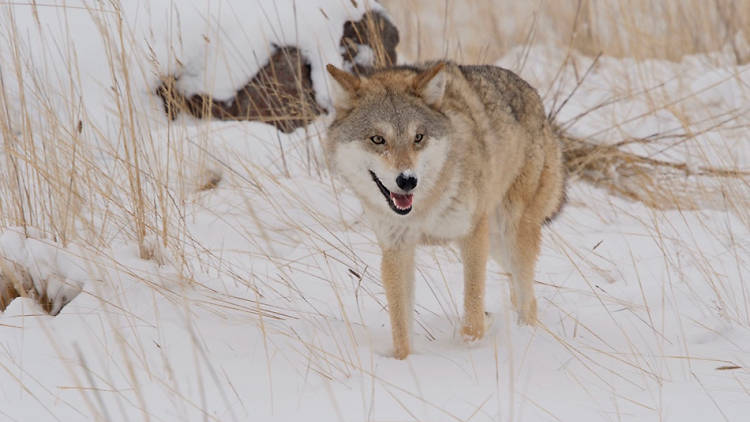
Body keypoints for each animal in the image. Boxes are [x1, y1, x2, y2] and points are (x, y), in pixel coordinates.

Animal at [324, 61, 564, 360]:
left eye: (418, 137)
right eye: (378, 139)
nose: (407, 180)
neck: (424, 208)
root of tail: (538, 102)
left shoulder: (472, 235)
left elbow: (472, 311)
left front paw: (471, 343)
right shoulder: (396, 249)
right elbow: (400, 325)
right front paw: (403, 361)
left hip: (509, 236)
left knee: (528, 295)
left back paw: (524, 333)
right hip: (497, 245)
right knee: (518, 288)